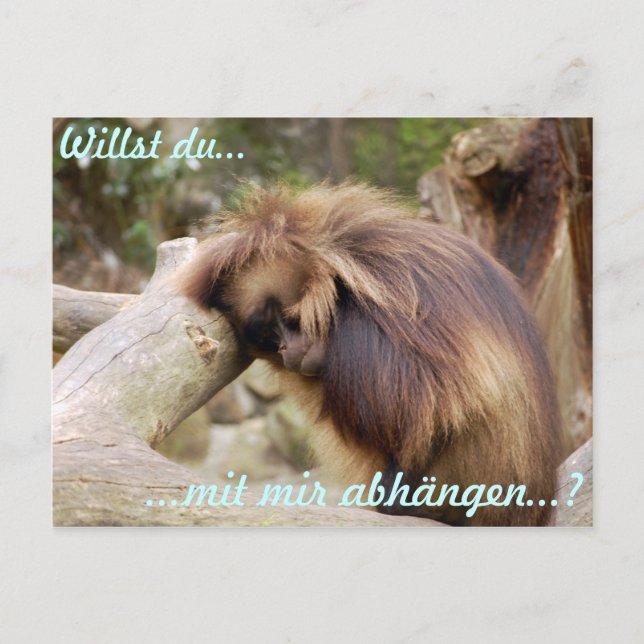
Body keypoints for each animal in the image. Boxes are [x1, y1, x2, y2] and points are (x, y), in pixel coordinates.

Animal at [177, 182, 562, 526]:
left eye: (288, 321)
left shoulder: (364, 331)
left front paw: (393, 502)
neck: (346, 281)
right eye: (269, 335)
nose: (285, 349)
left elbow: (440, 410)